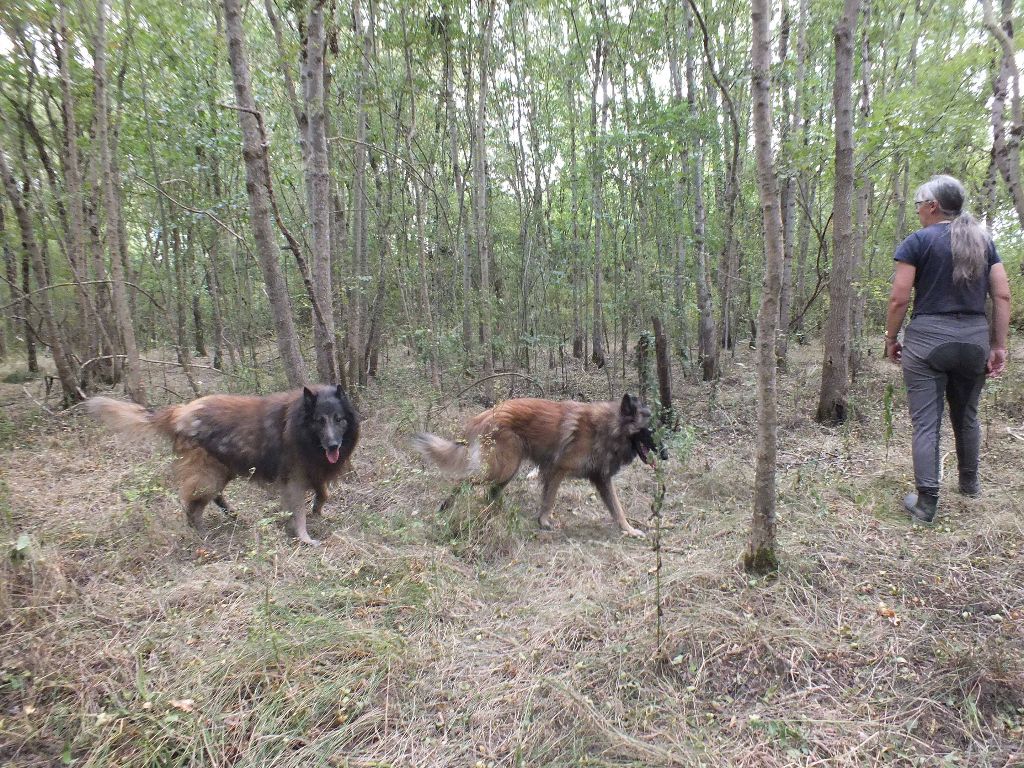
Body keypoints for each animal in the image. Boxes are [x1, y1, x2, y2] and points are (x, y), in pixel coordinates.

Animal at [87, 385, 360, 548]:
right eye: (319, 421)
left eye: (338, 419)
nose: (333, 445)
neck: (300, 427)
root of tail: (179, 412)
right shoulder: (293, 479)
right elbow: (299, 512)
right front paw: (305, 537)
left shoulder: (314, 471)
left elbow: (324, 493)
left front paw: (318, 511)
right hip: (208, 474)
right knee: (193, 507)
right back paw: (202, 534)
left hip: (222, 469)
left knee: (213, 498)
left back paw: (234, 516)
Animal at [411, 393, 667, 536]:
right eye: (649, 430)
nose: (665, 455)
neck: (608, 428)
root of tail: (483, 415)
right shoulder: (557, 470)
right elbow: (549, 499)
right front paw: (544, 521)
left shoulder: (601, 479)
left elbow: (617, 509)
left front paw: (629, 530)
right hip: (503, 468)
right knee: (464, 480)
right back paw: (446, 507)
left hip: (506, 470)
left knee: (490, 493)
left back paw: (497, 514)